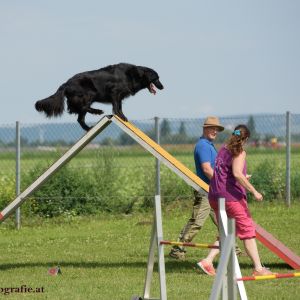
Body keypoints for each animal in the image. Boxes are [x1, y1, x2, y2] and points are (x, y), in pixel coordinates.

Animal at [35, 63, 164, 130]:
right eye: (157, 78)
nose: (163, 87)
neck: (134, 75)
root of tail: (66, 84)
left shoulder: (119, 96)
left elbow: (119, 107)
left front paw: (122, 116)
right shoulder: (114, 92)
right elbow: (116, 107)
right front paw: (121, 117)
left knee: (80, 118)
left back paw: (89, 128)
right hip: (89, 93)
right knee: (80, 108)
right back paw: (97, 111)